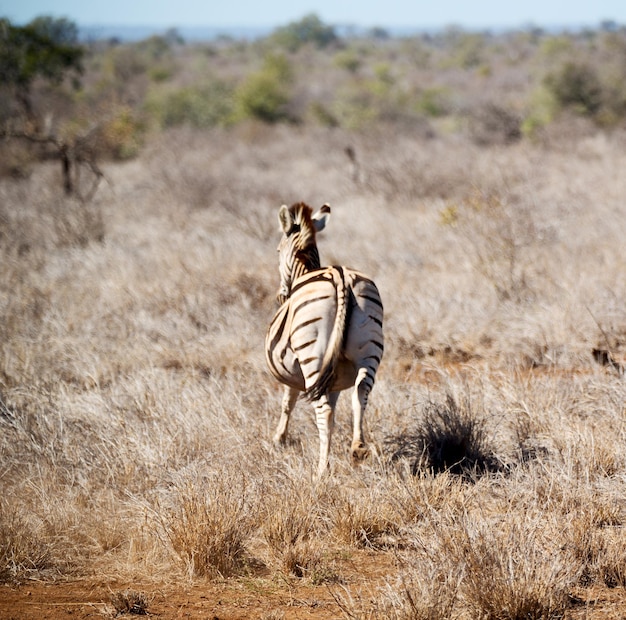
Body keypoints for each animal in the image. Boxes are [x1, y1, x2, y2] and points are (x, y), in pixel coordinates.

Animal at [262, 201, 380, 478]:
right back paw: (358, 448)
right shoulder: (333, 379)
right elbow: (336, 411)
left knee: (323, 411)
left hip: (311, 356)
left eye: (277, 250)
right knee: (361, 392)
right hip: (369, 352)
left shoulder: (295, 371)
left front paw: (279, 440)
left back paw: (321, 472)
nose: (280, 296)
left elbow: (287, 402)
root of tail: (340, 277)